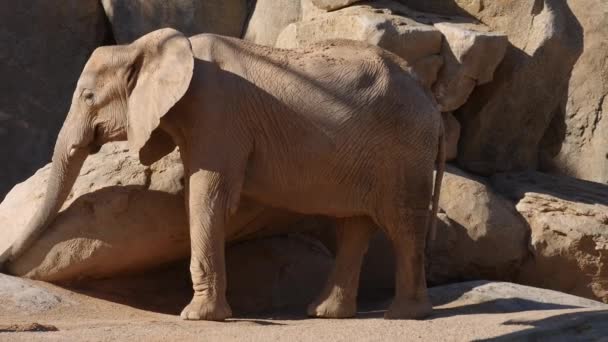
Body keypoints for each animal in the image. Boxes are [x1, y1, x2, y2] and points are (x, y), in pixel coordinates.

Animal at [1, 28, 446, 322]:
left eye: (88, 96)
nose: (6, 261)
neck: (151, 46)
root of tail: (431, 99)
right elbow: (196, 196)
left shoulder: (216, 112)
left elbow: (207, 195)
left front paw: (196, 317)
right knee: (354, 225)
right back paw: (326, 313)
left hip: (405, 150)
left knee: (401, 223)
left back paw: (403, 315)